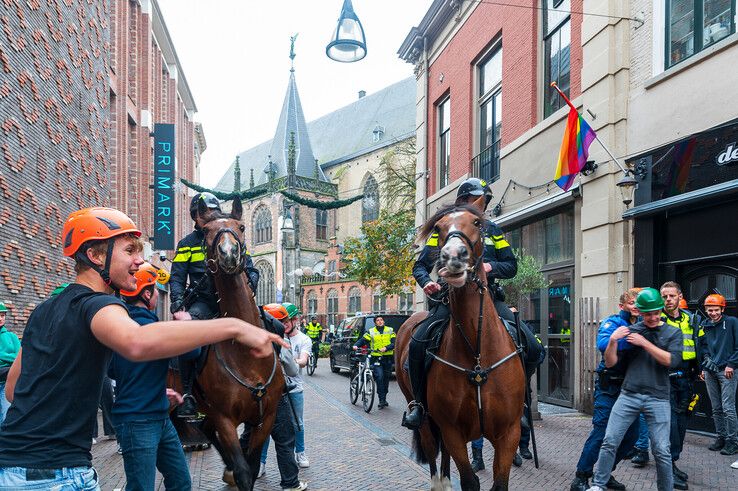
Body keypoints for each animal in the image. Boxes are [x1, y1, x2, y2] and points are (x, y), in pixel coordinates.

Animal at [187, 199, 284, 491]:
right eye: (206, 231)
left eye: (240, 227)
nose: (228, 253)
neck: (247, 357)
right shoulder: (226, 419)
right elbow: (244, 471)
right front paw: (234, 470)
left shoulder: (266, 417)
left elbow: (250, 465)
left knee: (205, 429)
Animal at [396, 197, 524, 491]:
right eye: (438, 228)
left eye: (477, 222)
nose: (453, 256)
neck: (477, 357)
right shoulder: (453, 431)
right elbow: (469, 481)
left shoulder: (509, 434)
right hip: (424, 416)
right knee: (432, 451)